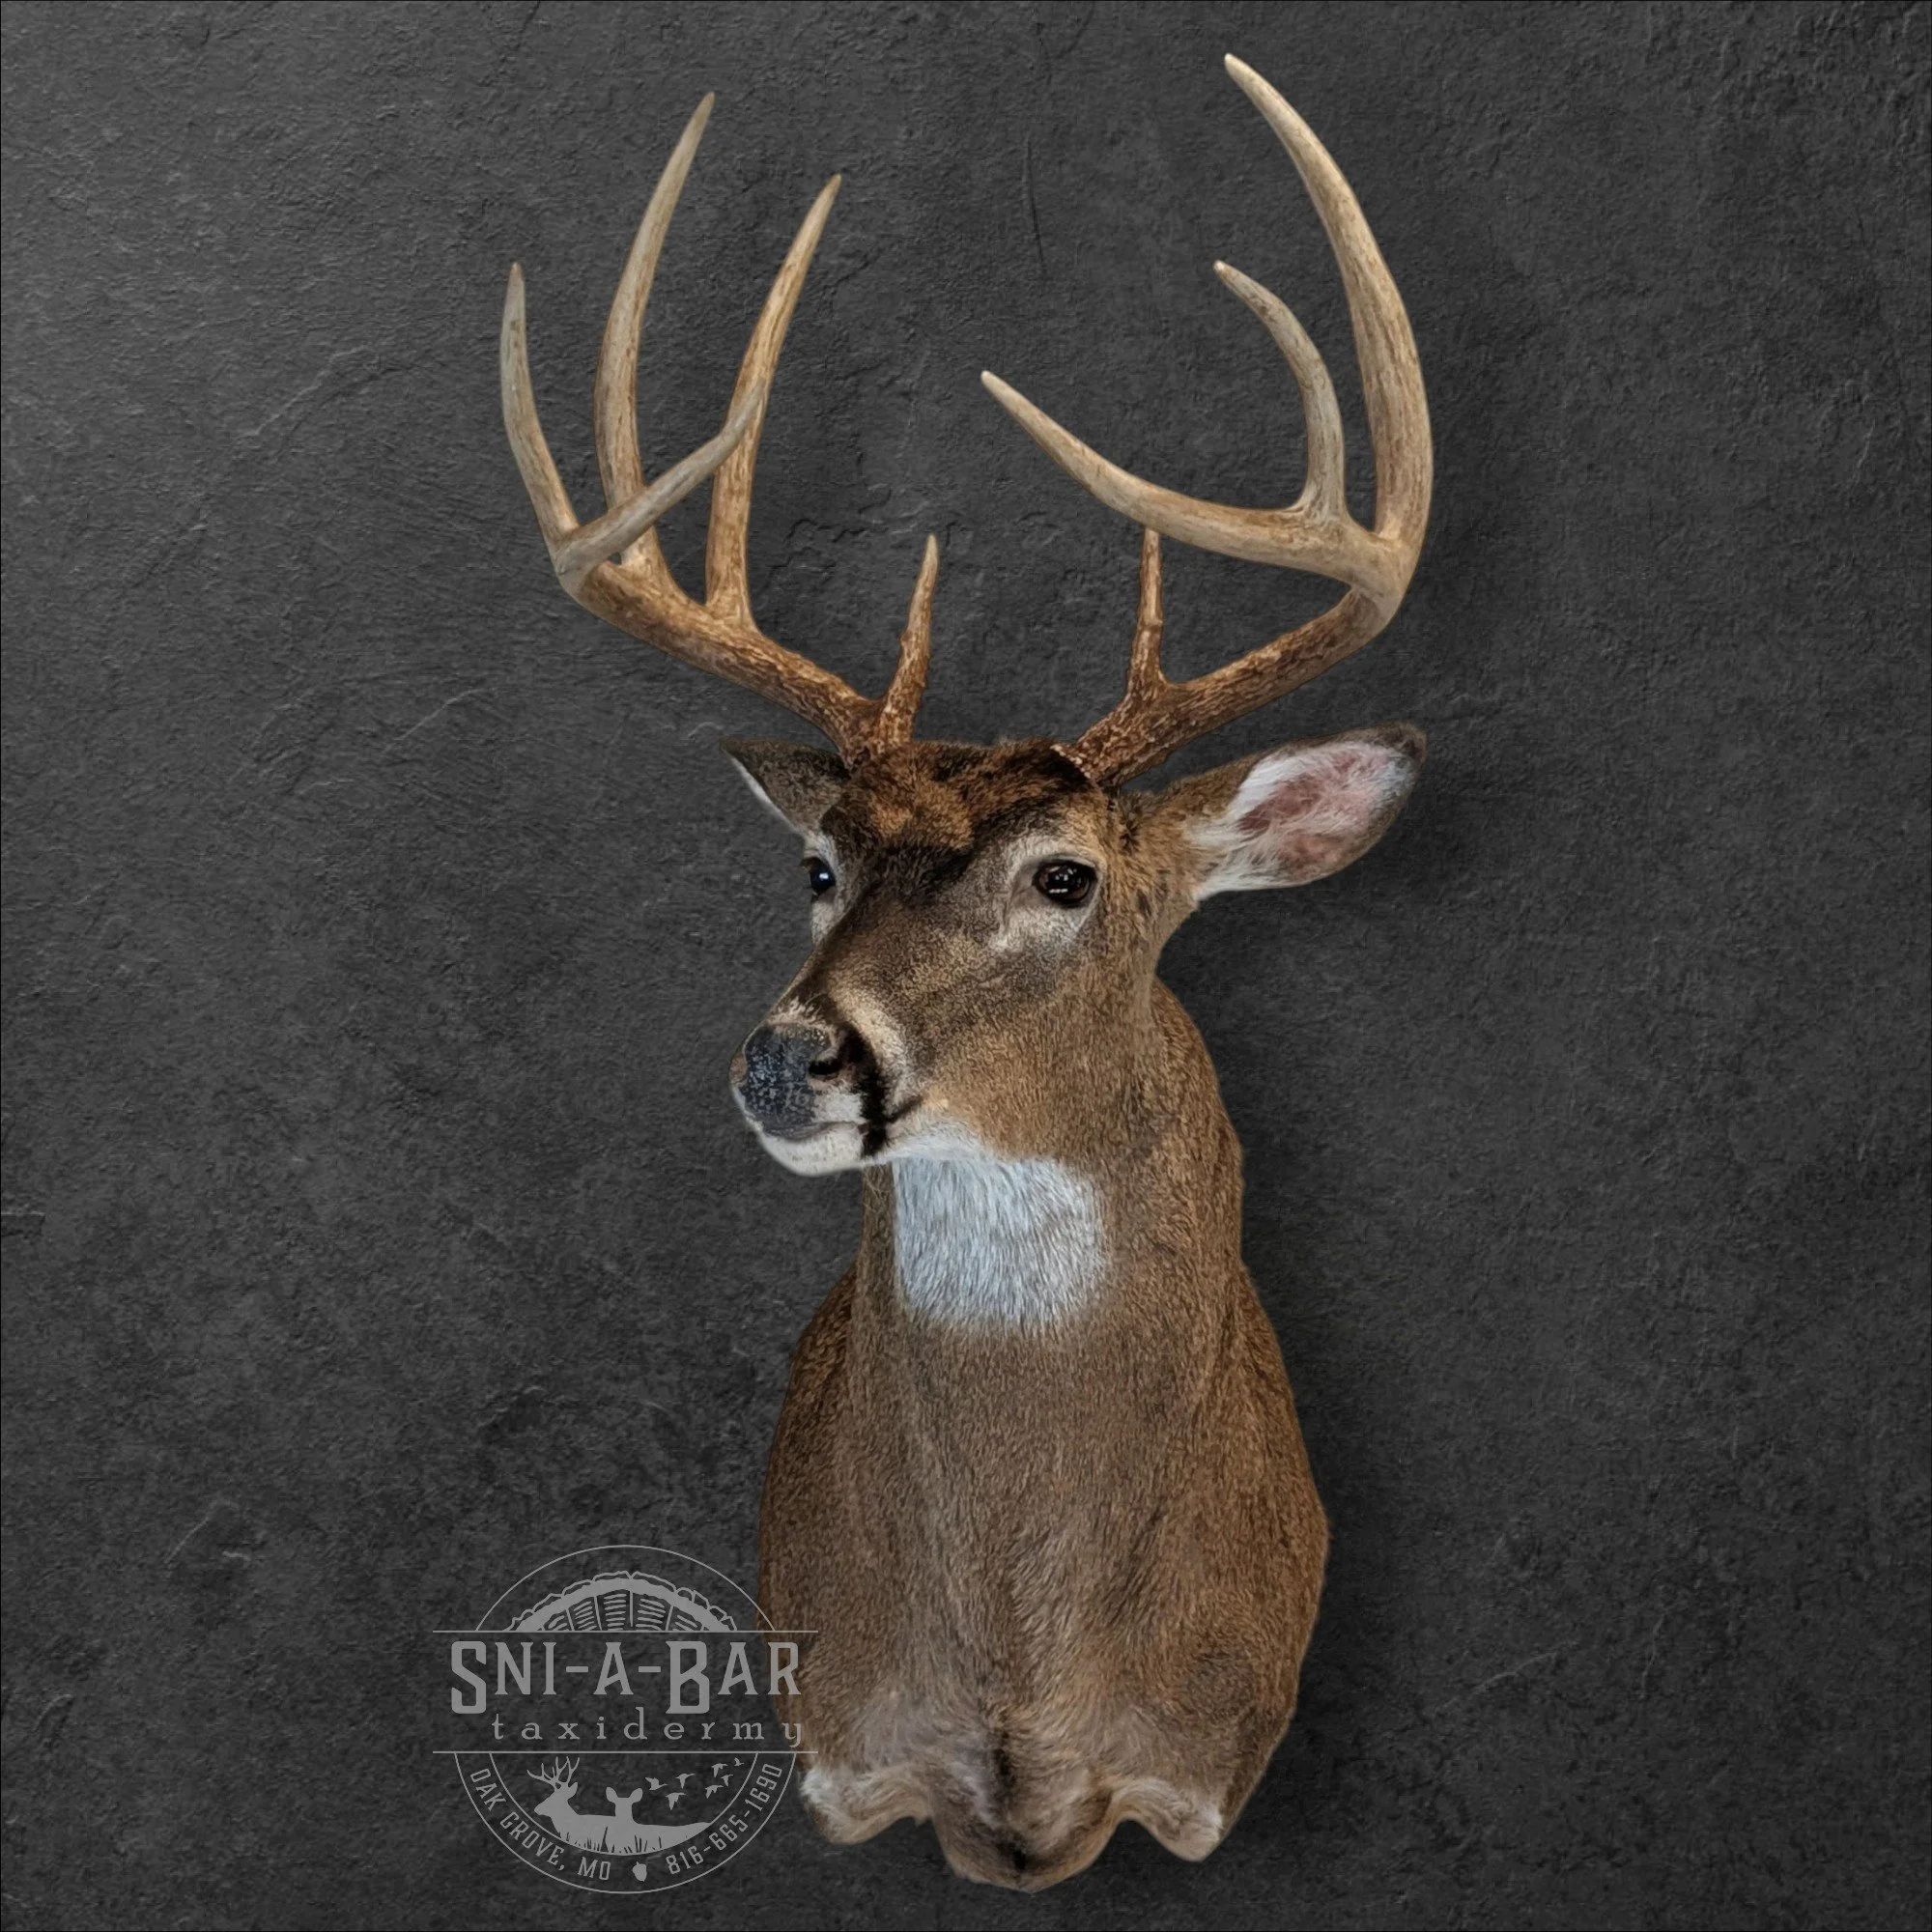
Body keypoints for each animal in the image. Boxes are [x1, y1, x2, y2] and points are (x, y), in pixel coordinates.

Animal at [501, 56, 1430, 1892]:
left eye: (1065, 875)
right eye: (817, 868)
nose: (791, 1058)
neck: (1020, 1677)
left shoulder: (1201, 1774)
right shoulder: (849, 1750)